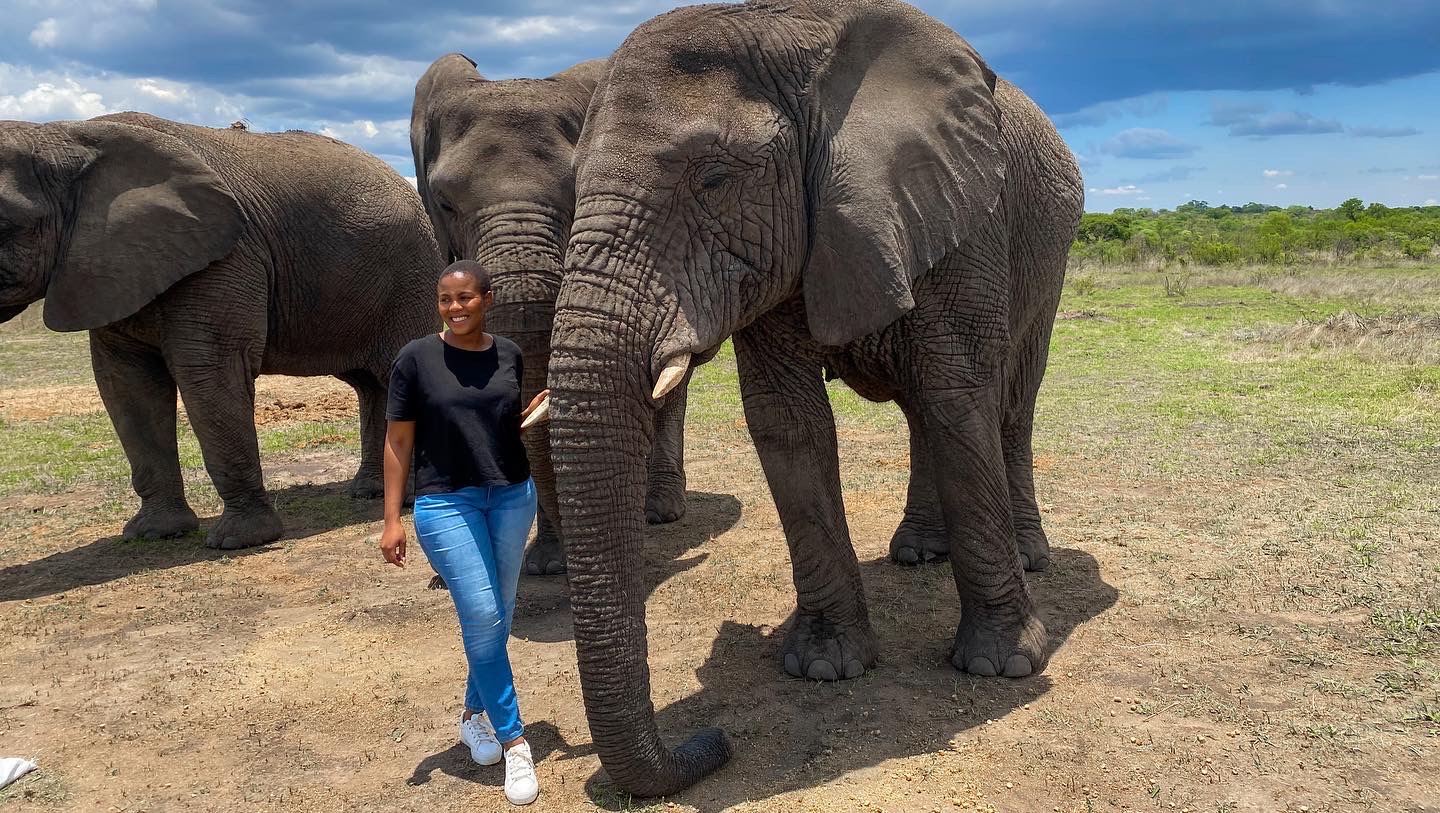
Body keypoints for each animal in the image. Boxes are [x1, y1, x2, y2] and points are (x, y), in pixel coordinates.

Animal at [0, 112, 442, 550]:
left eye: (3, 220)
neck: (61, 137)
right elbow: (127, 386)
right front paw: (154, 533)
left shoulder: (225, 260)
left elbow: (209, 371)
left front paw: (238, 540)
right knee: (371, 384)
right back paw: (369, 492)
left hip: (411, 279)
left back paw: (403, 500)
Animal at [542, 0, 1083, 795]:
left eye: (714, 178)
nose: (714, 740)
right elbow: (788, 424)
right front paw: (826, 668)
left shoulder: (965, 221)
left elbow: (961, 399)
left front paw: (1003, 665)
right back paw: (918, 555)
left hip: (1051, 248)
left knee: (1010, 400)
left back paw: (1028, 555)